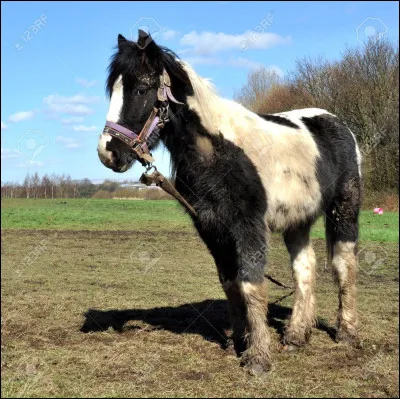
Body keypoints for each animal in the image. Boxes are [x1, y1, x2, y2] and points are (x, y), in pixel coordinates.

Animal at [97, 30, 362, 376]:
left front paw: (258, 358)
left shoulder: (248, 225)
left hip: (344, 209)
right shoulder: (211, 227)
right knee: (305, 268)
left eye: (141, 90)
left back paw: (346, 332)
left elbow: (250, 285)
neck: (218, 151)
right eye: (112, 92)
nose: (108, 152)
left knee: (344, 264)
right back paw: (295, 335)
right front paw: (239, 342)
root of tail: (339, 124)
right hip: (297, 221)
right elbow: (230, 284)